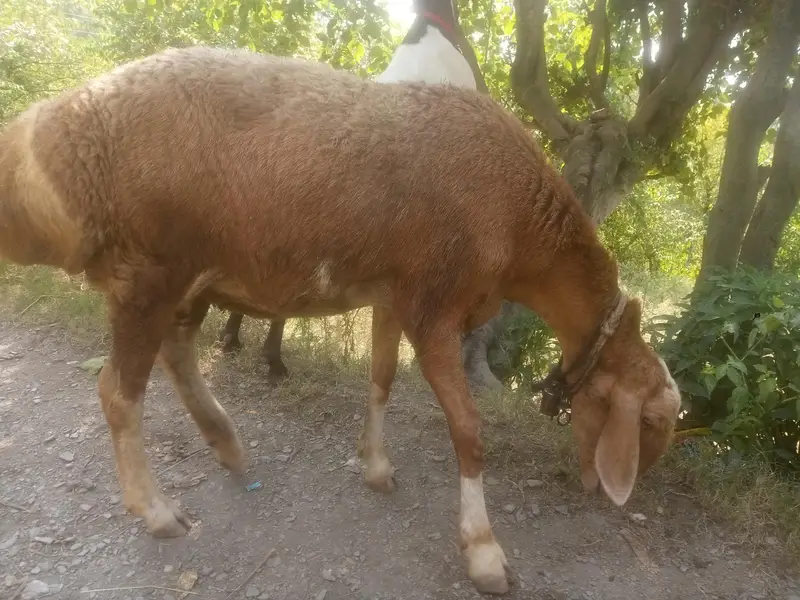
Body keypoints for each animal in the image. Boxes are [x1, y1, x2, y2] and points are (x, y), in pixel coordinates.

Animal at [0, 46, 681, 595]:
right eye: (650, 420)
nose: (626, 494)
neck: (521, 227)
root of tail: (48, 129)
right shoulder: (435, 305)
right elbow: (469, 432)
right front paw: (485, 553)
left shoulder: (393, 294)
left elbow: (380, 379)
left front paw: (375, 466)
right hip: (146, 270)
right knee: (119, 391)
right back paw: (158, 510)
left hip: (190, 272)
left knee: (176, 353)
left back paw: (226, 442)